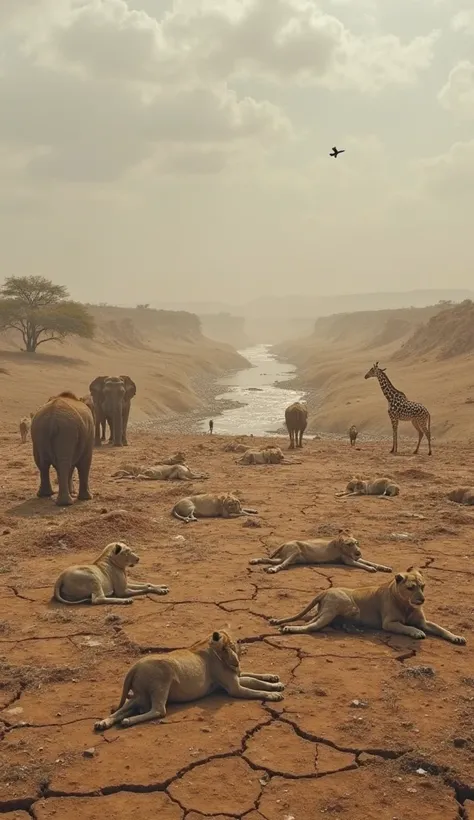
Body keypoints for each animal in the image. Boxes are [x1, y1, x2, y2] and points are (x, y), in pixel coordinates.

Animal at [94, 628, 284, 732]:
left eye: (233, 646)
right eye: (226, 648)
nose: (236, 662)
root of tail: (134, 668)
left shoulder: (234, 679)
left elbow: (256, 678)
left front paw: (276, 680)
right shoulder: (233, 689)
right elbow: (256, 690)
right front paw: (274, 695)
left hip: (138, 696)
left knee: (122, 710)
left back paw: (103, 723)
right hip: (162, 681)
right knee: (158, 711)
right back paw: (127, 722)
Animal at [248, 528, 392, 572]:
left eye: (357, 543)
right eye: (349, 544)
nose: (358, 552)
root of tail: (284, 544)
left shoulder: (356, 558)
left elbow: (371, 562)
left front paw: (384, 567)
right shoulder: (348, 561)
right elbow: (363, 565)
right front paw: (371, 569)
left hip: (288, 557)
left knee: (269, 559)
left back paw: (255, 561)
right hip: (295, 551)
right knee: (282, 564)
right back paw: (272, 569)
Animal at [270, 568, 466, 644]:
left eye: (423, 586)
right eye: (411, 588)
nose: (422, 600)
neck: (407, 604)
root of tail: (325, 591)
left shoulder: (424, 621)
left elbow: (440, 628)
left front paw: (456, 637)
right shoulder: (388, 623)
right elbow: (406, 627)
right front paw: (416, 632)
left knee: (311, 620)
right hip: (338, 607)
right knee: (310, 626)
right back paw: (288, 628)